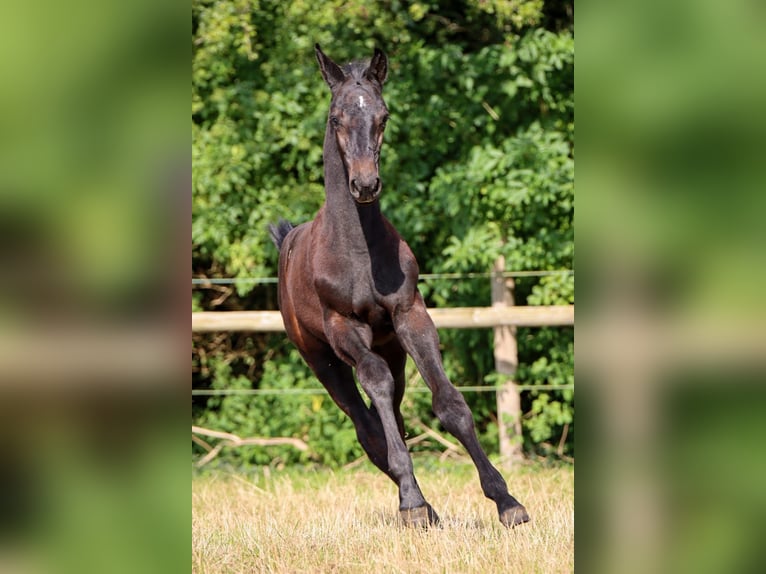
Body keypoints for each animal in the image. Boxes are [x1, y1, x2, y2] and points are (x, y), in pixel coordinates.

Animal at [268, 46, 528, 532]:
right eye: (335, 117)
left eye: (383, 115)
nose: (365, 184)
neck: (357, 249)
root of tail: (288, 239)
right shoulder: (343, 327)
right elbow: (376, 386)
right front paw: (411, 503)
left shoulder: (411, 316)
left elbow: (450, 403)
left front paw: (506, 501)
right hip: (321, 360)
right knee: (367, 425)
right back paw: (417, 502)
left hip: (392, 348)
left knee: (391, 414)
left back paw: (428, 504)